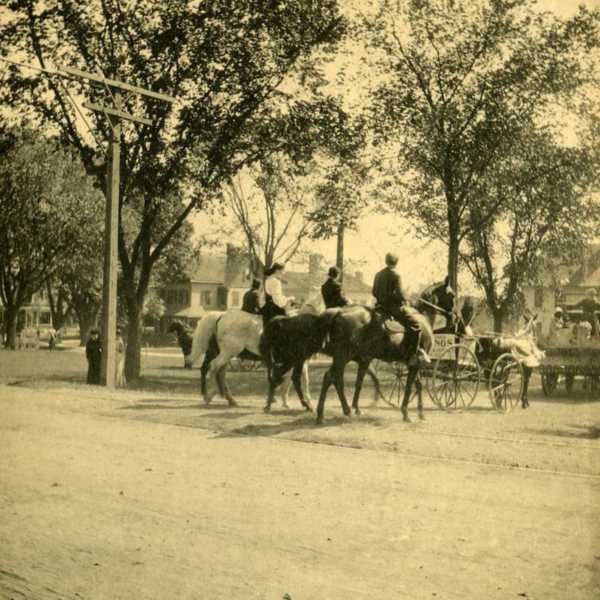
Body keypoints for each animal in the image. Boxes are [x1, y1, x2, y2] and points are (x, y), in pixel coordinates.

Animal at [260, 280, 458, 424]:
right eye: (452, 295)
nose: (455, 317)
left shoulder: (372, 360)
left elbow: (365, 382)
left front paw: (419, 412)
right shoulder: (412, 363)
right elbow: (410, 385)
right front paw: (406, 413)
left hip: (308, 358)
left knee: (293, 376)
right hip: (314, 357)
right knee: (321, 377)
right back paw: (317, 411)